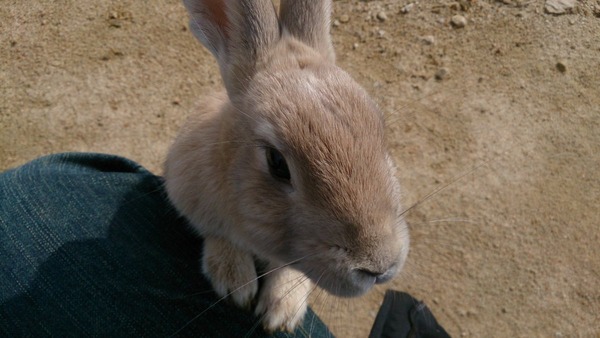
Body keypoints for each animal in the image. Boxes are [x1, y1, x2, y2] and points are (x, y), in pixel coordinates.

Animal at [164, 0, 410, 332]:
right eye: (277, 162)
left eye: (379, 127)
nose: (379, 267)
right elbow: (218, 235)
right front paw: (235, 285)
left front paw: (281, 312)